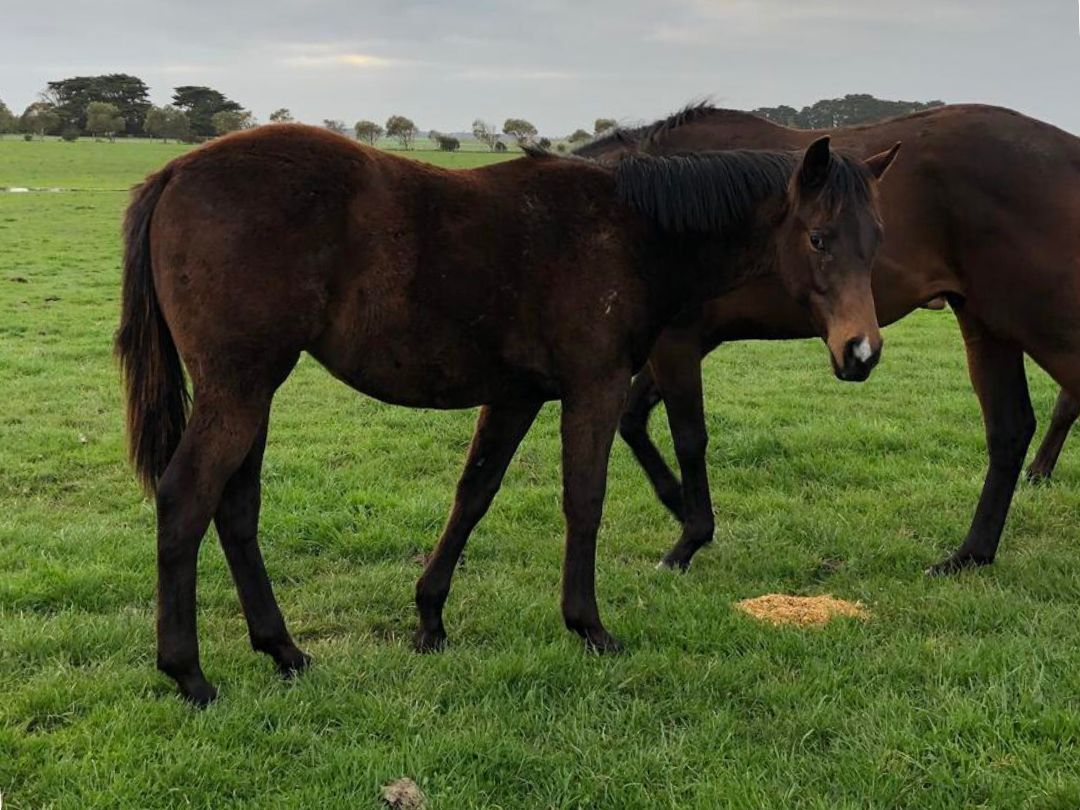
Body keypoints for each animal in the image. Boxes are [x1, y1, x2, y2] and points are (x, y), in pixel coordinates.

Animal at [118, 125, 898, 704]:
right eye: (820, 238)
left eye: (876, 239)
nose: (860, 352)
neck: (630, 230)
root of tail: (175, 173)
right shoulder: (594, 386)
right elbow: (584, 499)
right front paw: (588, 626)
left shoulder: (516, 395)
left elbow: (474, 495)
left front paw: (430, 619)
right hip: (240, 387)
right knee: (186, 500)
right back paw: (189, 674)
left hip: (253, 390)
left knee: (236, 508)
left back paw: (283, 650)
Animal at [578, 106, 1080, 578]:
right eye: (818, 240)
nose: (860, 352)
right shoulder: (685, 345)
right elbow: (632, 421)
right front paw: (681, 507)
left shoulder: (677, 343)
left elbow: (688, 438)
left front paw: (688, 541)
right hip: (987, 325)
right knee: (1010, 429)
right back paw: (970, 555)